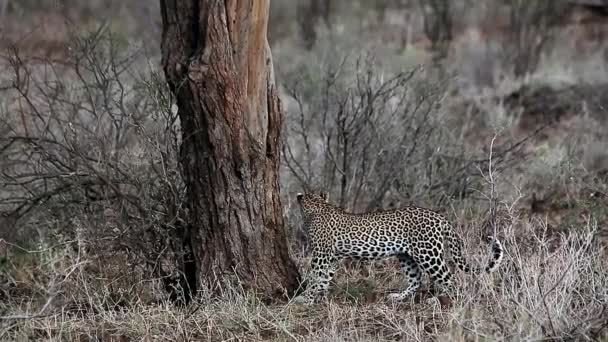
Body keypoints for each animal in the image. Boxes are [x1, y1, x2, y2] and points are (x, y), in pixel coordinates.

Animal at [290, 192, 504, 304]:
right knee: (416, 280)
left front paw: (304, 298)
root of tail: (439, 217)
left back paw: (442, 300)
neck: (316, 206)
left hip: (429, 254)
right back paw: (398, 297)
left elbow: (315, 276)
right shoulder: (331, 257)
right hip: (405, 256)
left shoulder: (321, 255)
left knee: (450, 279)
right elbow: (324, 278)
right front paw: (316, 295)